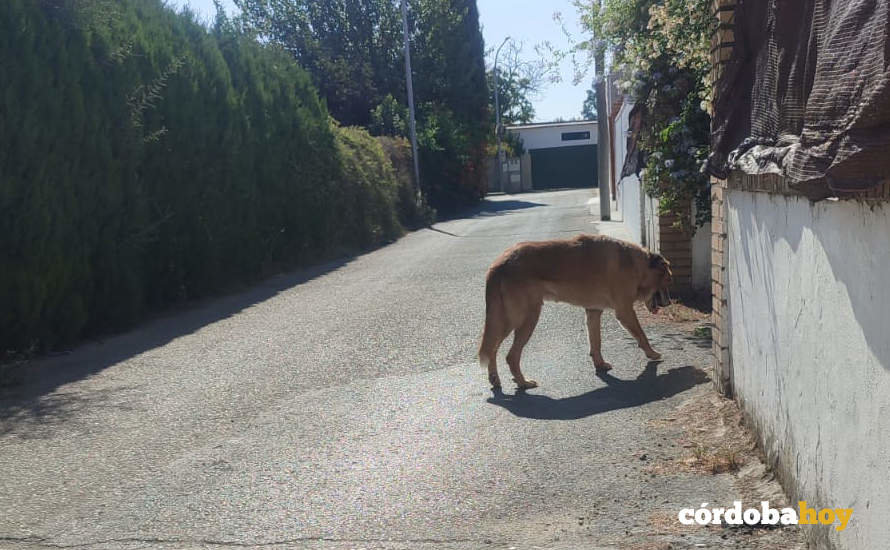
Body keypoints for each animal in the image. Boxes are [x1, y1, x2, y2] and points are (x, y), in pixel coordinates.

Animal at [476, 235, 668, 390]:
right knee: (510, 356)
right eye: (668, 279)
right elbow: (641, 335)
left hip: (506, 321)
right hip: (524, 319)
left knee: (492, 349)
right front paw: (652, 353)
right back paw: (523, 383)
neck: (635, 262)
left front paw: (599, 364)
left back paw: (495, 379)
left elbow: (596, 343)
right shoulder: (625, 311)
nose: (668, 303)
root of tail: (498, 264)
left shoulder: (593, 312)